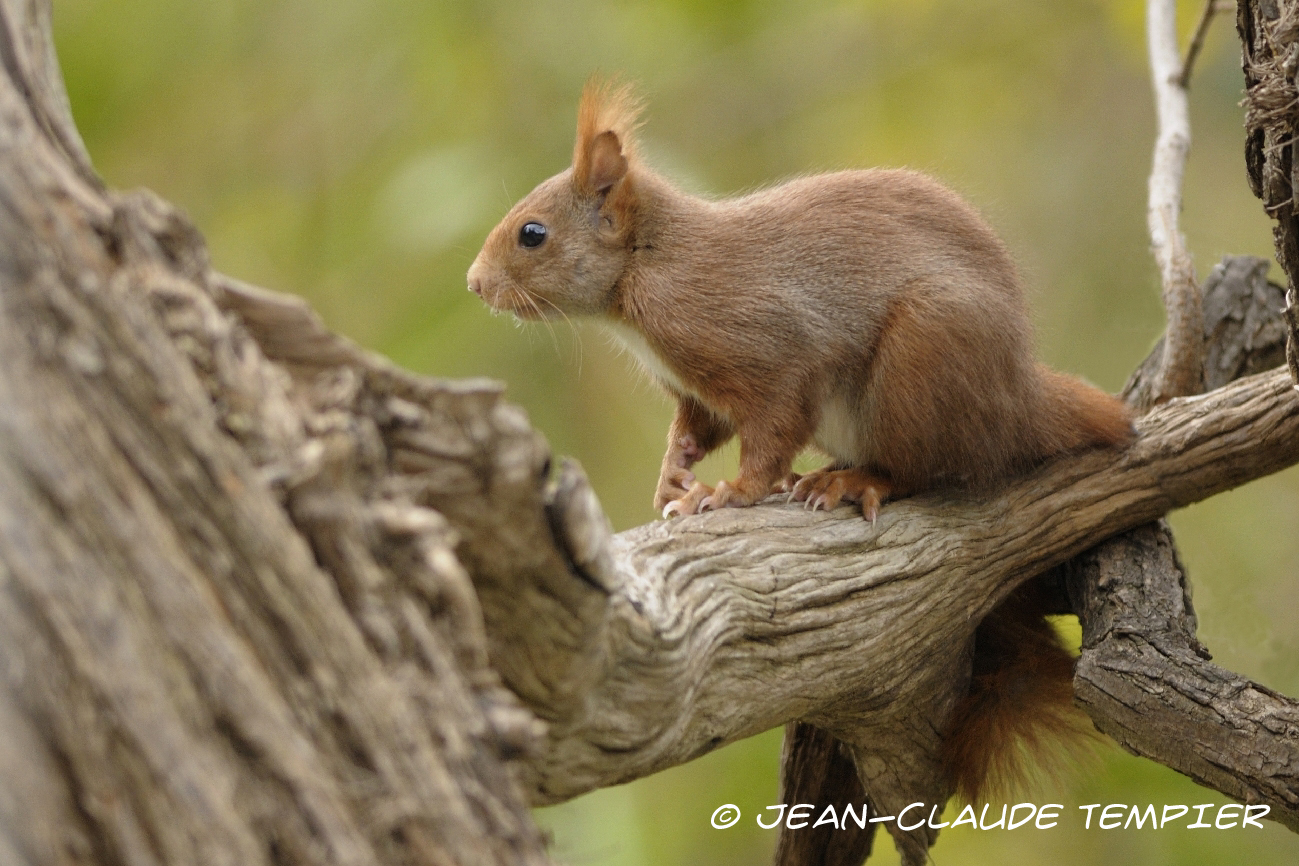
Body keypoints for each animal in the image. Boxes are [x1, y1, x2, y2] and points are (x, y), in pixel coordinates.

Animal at [465, 79, 1127, 799]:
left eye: (533, 234)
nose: (474, 285)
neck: (647, 266)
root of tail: (1018, 395)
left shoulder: (762, 345)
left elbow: (774, 423)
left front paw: (728, 495)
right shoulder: (697, 391)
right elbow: (698, 429)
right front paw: (674, 477)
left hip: (924, 357)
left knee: (931, 469)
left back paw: (853, 479)